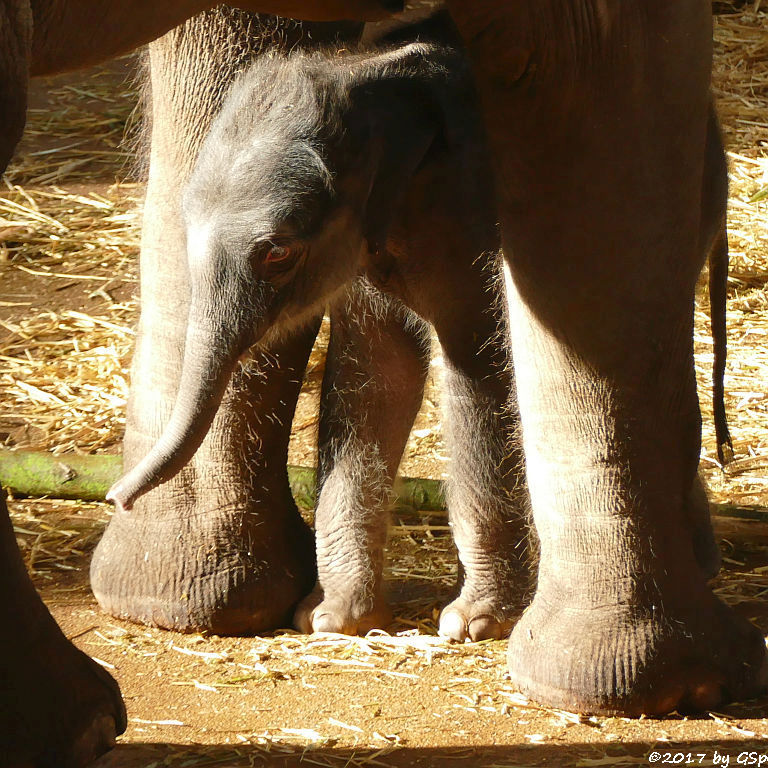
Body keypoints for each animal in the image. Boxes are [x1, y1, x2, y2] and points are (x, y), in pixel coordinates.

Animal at [109, 15, 536, 640]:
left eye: (277, 253)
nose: (116, 499)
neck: (364, 73)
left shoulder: (477, 224)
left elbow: (482, 375)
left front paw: (472, 623)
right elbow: (372, 377)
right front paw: (330, 618)